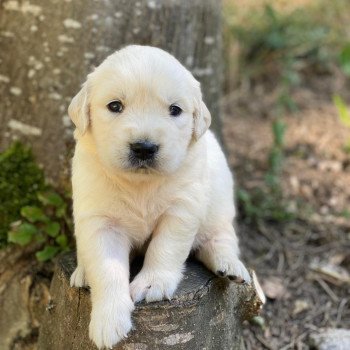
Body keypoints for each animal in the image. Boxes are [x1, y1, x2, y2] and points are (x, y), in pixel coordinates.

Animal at [68, 45, 250, 348]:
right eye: (115, 106)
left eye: (175, 110)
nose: (144, 147)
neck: (141, 184)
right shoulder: (100, 220)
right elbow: (107, 268)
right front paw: (108, 320)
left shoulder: (182, 209)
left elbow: (165, 247)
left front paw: (152, 283)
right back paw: (82, 271)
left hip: (220, 207)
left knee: (221, 238)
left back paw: (229, 264)